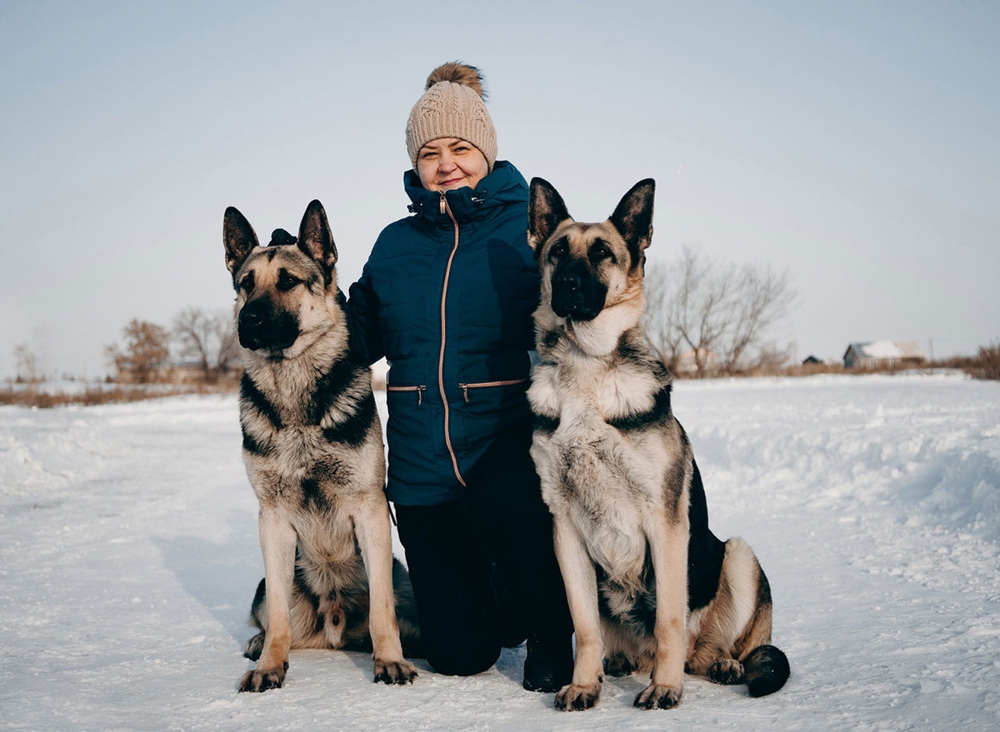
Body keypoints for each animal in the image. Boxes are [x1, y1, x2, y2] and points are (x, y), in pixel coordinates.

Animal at [221, 200, 420, 692]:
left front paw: (390, 661)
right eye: (246, 284)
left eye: (288, 281)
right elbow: (276, 615)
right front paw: (270, 666)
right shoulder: (272, 519)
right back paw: (261, 645)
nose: (248, 320)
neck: (296, 406)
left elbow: (383, 611)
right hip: (268, 582)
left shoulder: (370, 508)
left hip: (404, 579)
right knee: (272, 614)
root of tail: (333, 626)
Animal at [524, 177, 788, 708]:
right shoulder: (565, 529)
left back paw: (720, 664)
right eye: (557, 252)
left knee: (705, 649)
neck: (587, 367)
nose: (568, 286)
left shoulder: (663, 525)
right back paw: (619, 663)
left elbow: (668, 619)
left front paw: (665, 688)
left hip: (737, 556)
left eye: (602, 253)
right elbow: (584, 626)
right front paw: (584, 684)